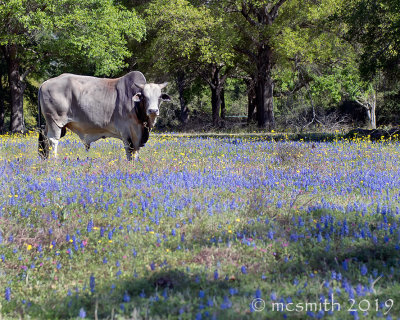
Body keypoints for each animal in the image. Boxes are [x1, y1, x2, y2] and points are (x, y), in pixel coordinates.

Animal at [36, 70, 170, 160]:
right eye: (144, 97)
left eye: (159, 97)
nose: (153, 111)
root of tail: (44, 83)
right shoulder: (127, 132)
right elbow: (129, 151)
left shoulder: (138, 135)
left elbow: (135, 152)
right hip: (55, 121)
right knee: (53, 140)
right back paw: (54, 161)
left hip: (49, 123)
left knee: (44, 139)